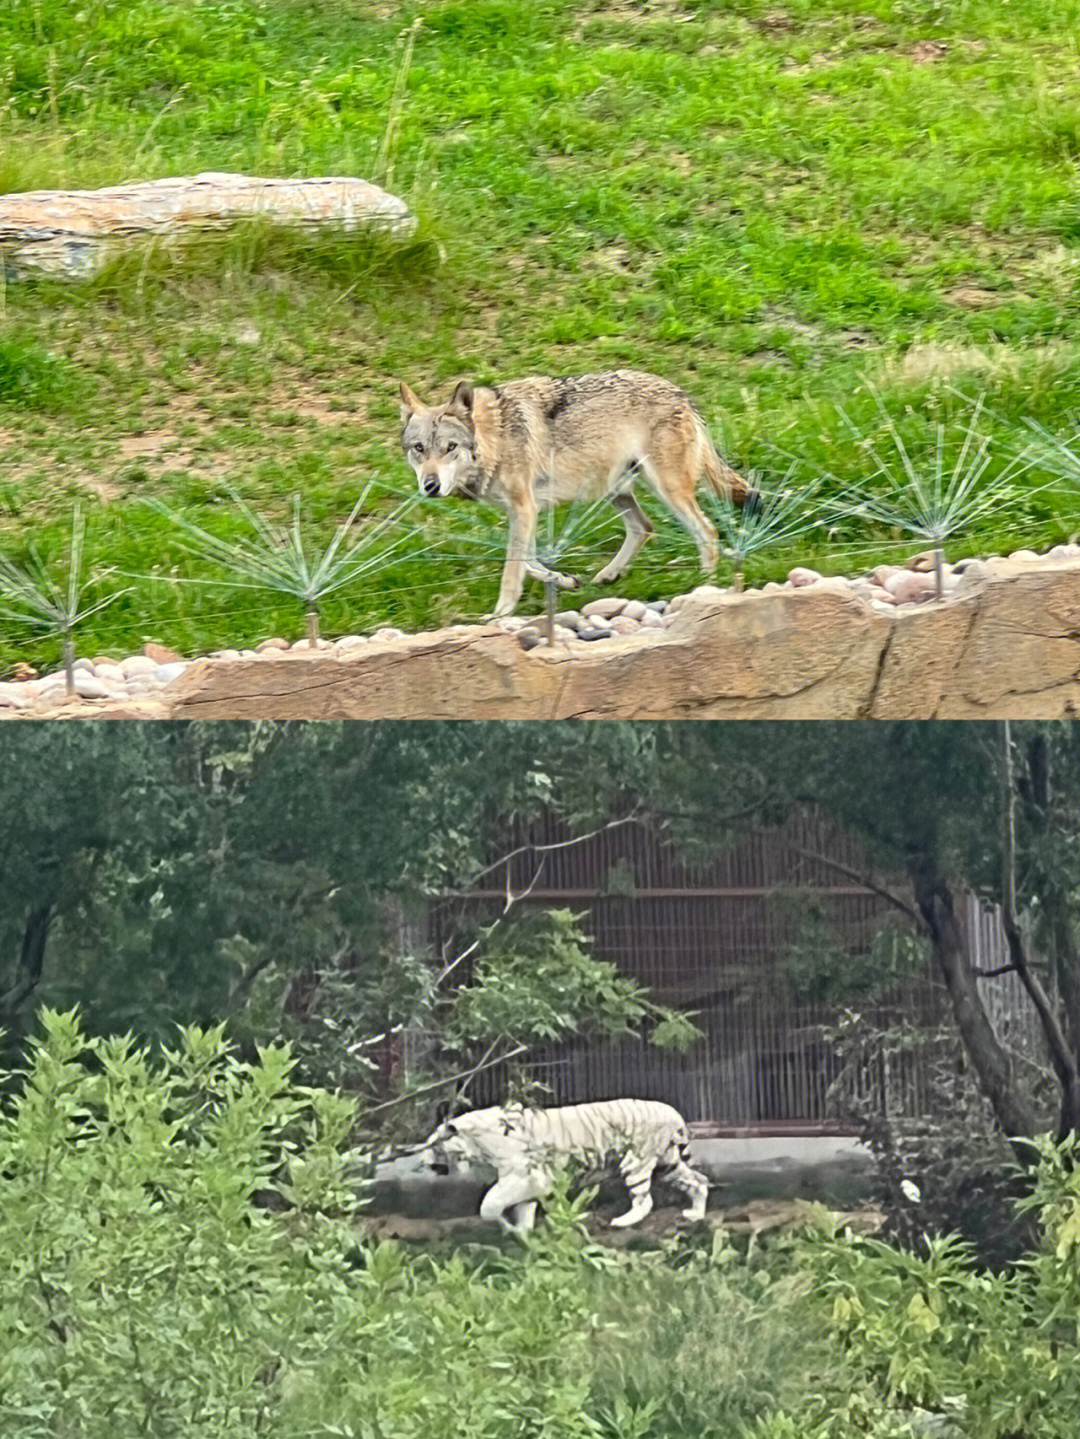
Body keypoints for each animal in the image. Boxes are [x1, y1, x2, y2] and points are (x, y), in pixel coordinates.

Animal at [396, 368, 753, 615]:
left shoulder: (524, 509)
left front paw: (500, 613)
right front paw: (565, 580)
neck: (493, 439)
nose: (430, 486)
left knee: (707, 530)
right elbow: (529, 561)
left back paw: (703, 585)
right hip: (614, 489)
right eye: (419, 448)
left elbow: (513, 567)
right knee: (644, 528)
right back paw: (608, 575)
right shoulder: (524, 512)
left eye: (450, 448)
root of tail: (682, 394)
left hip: (666, 490)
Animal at [422, 1093, 710, 1231]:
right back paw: (695, 1214)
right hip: (667, 1163)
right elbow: (522, 1210)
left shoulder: (521, 1176)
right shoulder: (528, 1183)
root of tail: (673, 1113)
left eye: (433, 1143)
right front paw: (522, 1234)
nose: (426, 1163)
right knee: (698, 1182)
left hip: (637, 1159)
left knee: (644, 1200)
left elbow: (489, 1204)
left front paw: (506, 1226)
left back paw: (622, 1221)